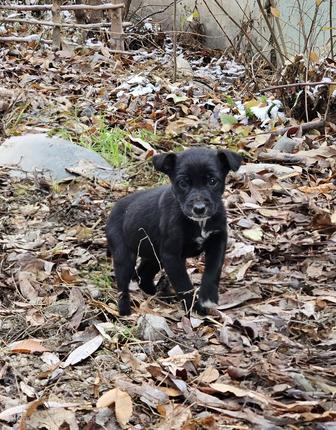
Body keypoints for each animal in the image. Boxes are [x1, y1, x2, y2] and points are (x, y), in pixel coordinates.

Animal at [106, 148, 240, 316]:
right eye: (183, 183)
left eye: (212, 181)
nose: (199, 208)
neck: (199, 223)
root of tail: (112, 212)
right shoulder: (171, 255)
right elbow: (184, 285)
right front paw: (194, 308)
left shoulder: (218, 241)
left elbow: (213, 269)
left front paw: (208, 296)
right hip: (124, 254)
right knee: (122, 285)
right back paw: (125, 310)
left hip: (154, 254)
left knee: (143, 274)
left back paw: (160, 295)